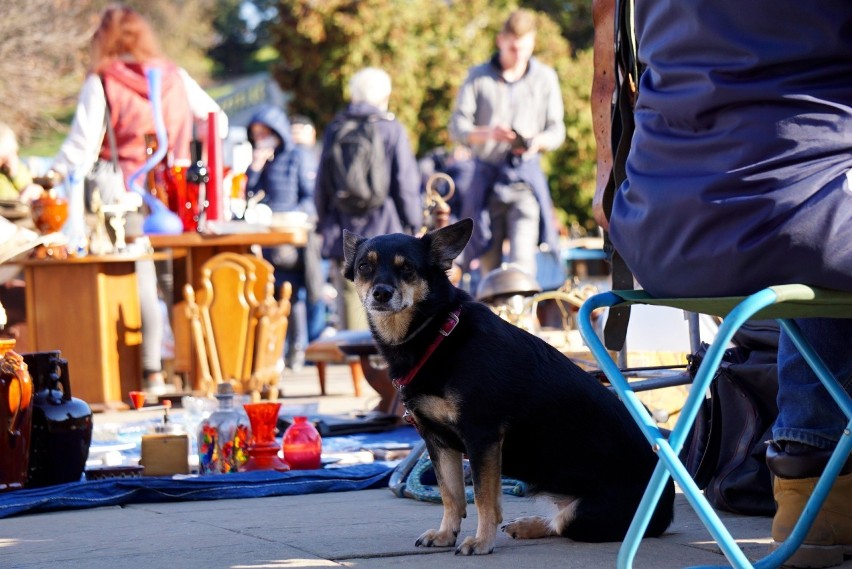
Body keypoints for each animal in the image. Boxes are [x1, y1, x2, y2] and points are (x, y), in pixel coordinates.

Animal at [342, 219, 672, 556]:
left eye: (407, 268)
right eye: (364, 267)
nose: (381, 293)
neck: (436, 334)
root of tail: (669, 506)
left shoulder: (482, 437)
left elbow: (484, 499)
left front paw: (481, 542)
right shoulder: (438, 441)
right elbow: (451, 495)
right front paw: (446, 534)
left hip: (586, 515)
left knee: (563, 522)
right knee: (557, 519)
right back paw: (528, 525)